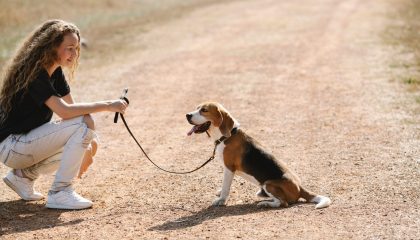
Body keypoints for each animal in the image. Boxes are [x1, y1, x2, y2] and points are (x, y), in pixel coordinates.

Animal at [186, 101, 332, 208]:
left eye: (204, 110)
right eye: (196, 108)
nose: (187, 115)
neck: (227, 136)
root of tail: (300, 188)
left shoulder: (229, 168)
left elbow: (226, 186)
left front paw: (221, 199)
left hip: (269, 184)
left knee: (282, 203)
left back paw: (265, 203)